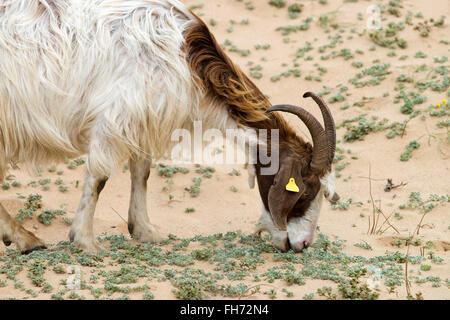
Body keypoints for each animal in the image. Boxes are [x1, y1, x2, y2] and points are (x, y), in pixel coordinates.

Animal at [0, 0, 338, 255]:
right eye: (305, 190)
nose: (303, 244)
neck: (184, 55)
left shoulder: (142, 122)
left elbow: (142, 172)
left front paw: (145, 231)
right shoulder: (115, 119)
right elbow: (99, 178)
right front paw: (85, 241)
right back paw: (26, 239)